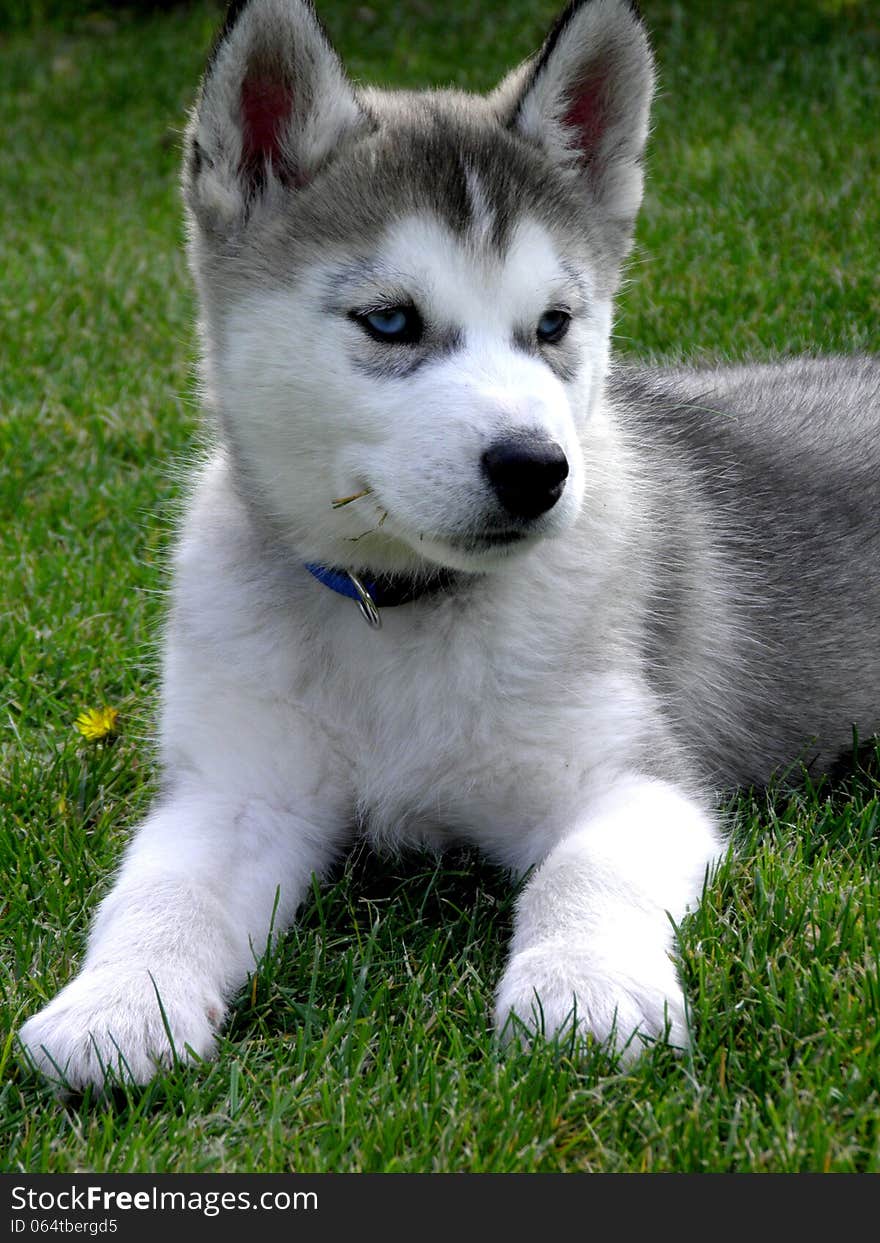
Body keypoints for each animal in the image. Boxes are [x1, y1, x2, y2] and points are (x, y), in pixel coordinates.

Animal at [17, 0, 875, 1088]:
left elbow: (581, 872)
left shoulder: (636, 780)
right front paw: (115, 1004)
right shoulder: (235, 789)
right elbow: (158, 892)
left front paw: (581, 992)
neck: (397, 611)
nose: (536, 468)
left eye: (554, 324)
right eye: (390, 320)